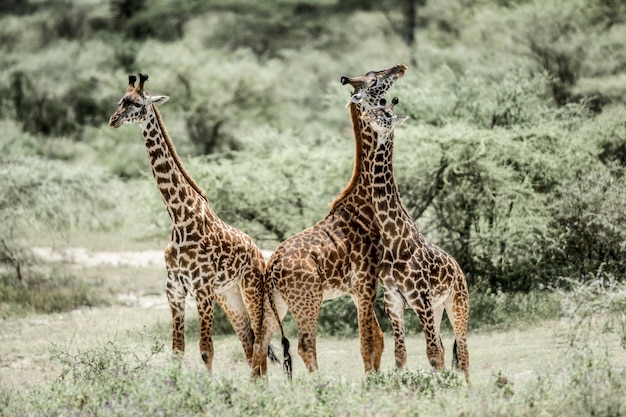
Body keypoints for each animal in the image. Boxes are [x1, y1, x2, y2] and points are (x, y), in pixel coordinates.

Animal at [108, 73, 280, 372]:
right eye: (121, 100)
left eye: (138, 104)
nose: (113, 120)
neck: (180, 218)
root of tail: (259, 253)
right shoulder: (174, 291)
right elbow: (178, 350)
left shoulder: (202, 290)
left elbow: (206, 350)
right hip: (229, 296)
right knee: (248, 343)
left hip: (251, 291)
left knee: (259, 345)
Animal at [251, 63, 408, 376]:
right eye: (375, 79)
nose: (400, 67)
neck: (365, 200)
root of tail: (271, 268)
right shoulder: (364, 283)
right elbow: (368, 342)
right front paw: (373, 381)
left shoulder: (359, 288)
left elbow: (377, 340)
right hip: (308, 299)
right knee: (305, 345)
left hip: (277, 304)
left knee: (260, 345)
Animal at [358, 99, 466, 382]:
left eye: (386, 113)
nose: (365, 114)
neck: (393, 239)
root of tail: (458, 267)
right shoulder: (393, 300)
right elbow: (400, 355)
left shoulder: (420, 298)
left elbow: (432, 354)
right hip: (438, 307)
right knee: (447, 347)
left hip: (456, 303)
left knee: (462, 351)